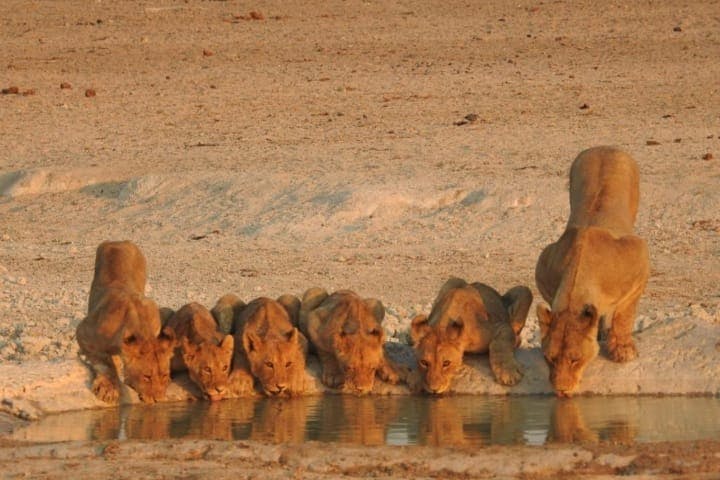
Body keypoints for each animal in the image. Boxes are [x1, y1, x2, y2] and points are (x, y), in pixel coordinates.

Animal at [76, 240, 175, 404]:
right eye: (147, 377)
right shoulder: (84, 331)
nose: (159, 401)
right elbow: (104, 361)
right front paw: (108, 389)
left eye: (165, 375)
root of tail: (118, 241)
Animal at [535, 146, 650, 396]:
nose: (561, 391)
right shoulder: (544, 265)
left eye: (575, 359)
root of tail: (605, 147)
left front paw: (622, 349)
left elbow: (624, 313)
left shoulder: (640, 258)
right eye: (550, 358)